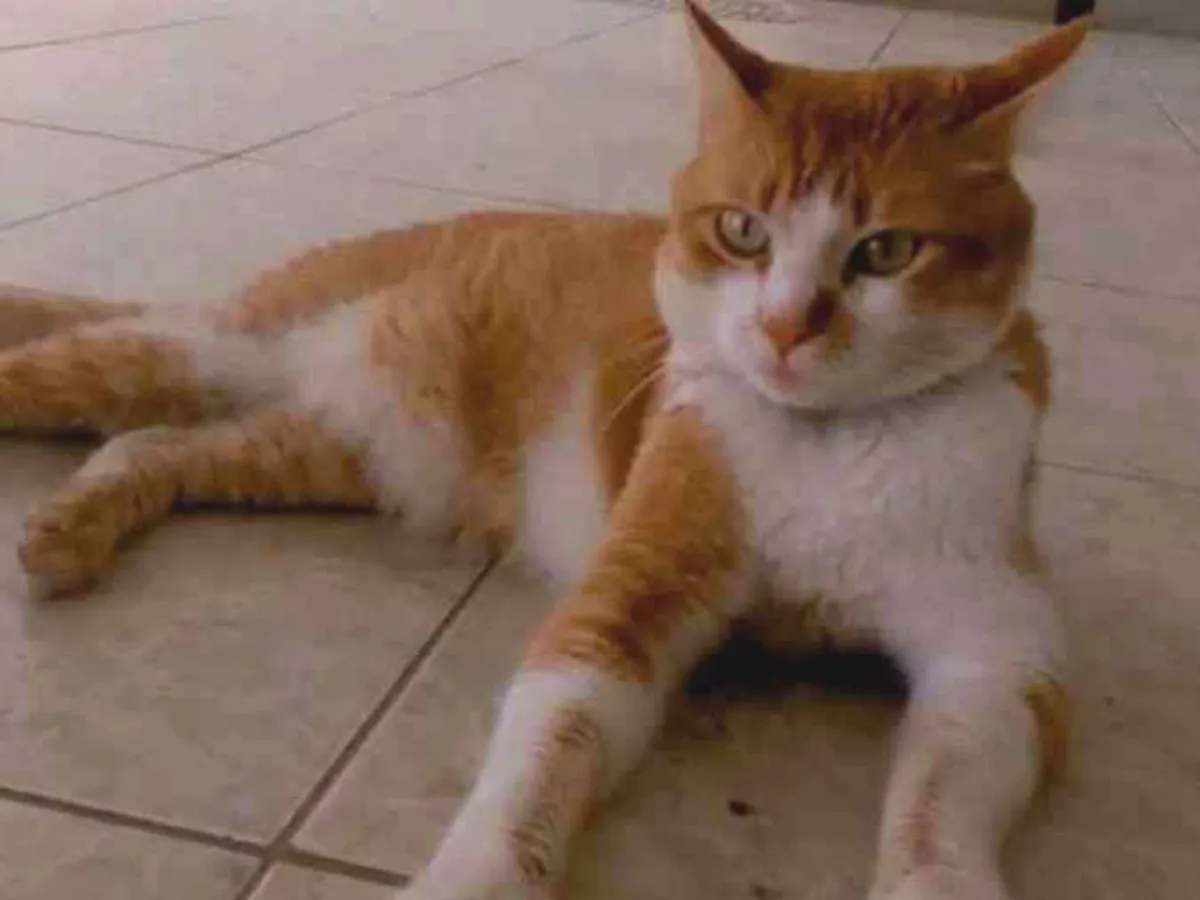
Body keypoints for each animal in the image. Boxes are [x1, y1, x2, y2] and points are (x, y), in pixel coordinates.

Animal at [0, 4, 1088, 899]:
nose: (785, 329)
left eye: (888, 251)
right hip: (210, 349)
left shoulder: (995, 646)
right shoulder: (630, 595)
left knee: (151, 440)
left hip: (327, 448)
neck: (824, 444)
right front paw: (472, 878)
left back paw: (68, 529)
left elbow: (945, 799)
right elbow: (547, 748)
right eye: (742, 231)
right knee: (77, 363)